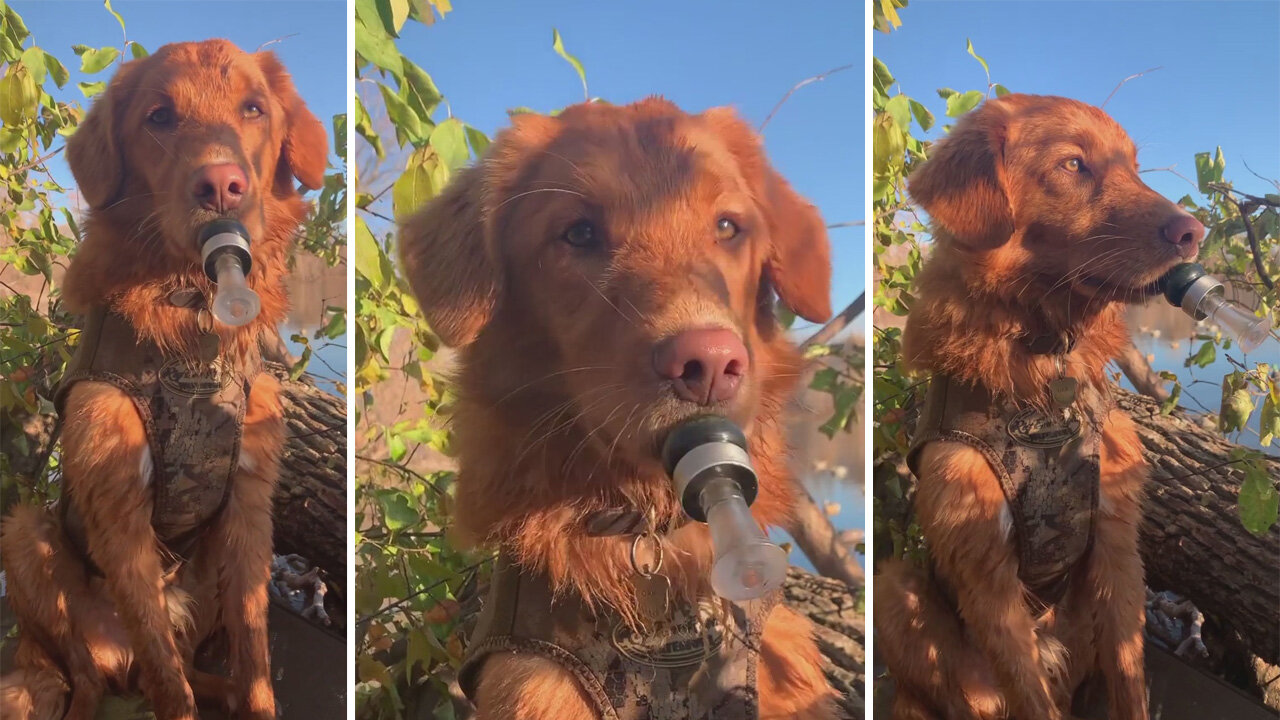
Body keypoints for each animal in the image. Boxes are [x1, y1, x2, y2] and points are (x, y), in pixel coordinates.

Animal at [0, 39, 327, 717]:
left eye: (254, 108)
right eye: (159, 117)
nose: (222, 185)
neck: (191, 322)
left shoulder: (250, 511)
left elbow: (255, 658)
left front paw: (254, 698)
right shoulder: (120, 513)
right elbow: (167, 678)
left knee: (197, 667)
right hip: (23, 532)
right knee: (90, 675)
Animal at [870, 92, 1198, 712]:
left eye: (1134, 168)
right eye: (1073, 164)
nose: (1195, 231)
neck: (1041, 369)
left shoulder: (1117, 546)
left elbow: (1130, 683)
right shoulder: (985, 574)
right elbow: (1031, 700)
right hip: (895, 589)